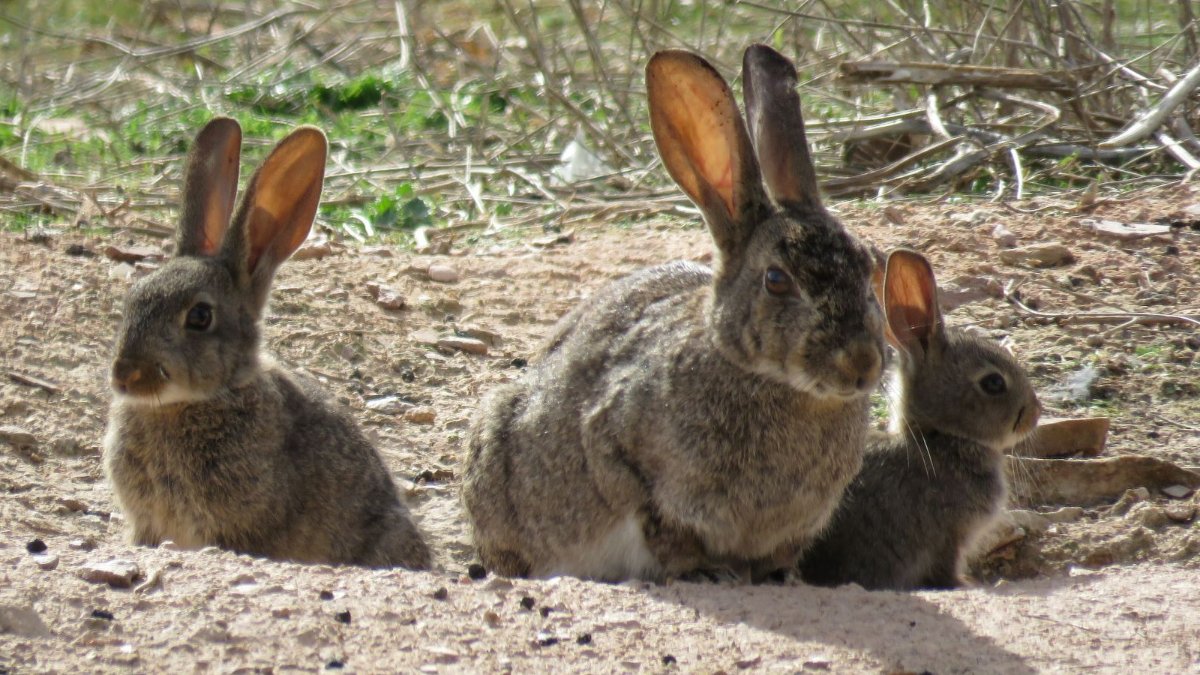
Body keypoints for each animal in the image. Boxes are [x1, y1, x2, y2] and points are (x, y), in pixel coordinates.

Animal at [462, 44, 885, 583]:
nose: (862, 364)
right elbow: (661, 525)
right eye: (776, 280)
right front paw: (702, 572)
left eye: (869, 265)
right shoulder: (620, 454)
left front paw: (779, 577)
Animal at [798, 249, 1040, 590]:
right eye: (993, 383)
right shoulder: (948, 537)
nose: (1035, 414)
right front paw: (968, 585)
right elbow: (945, 572)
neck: (936, 436)